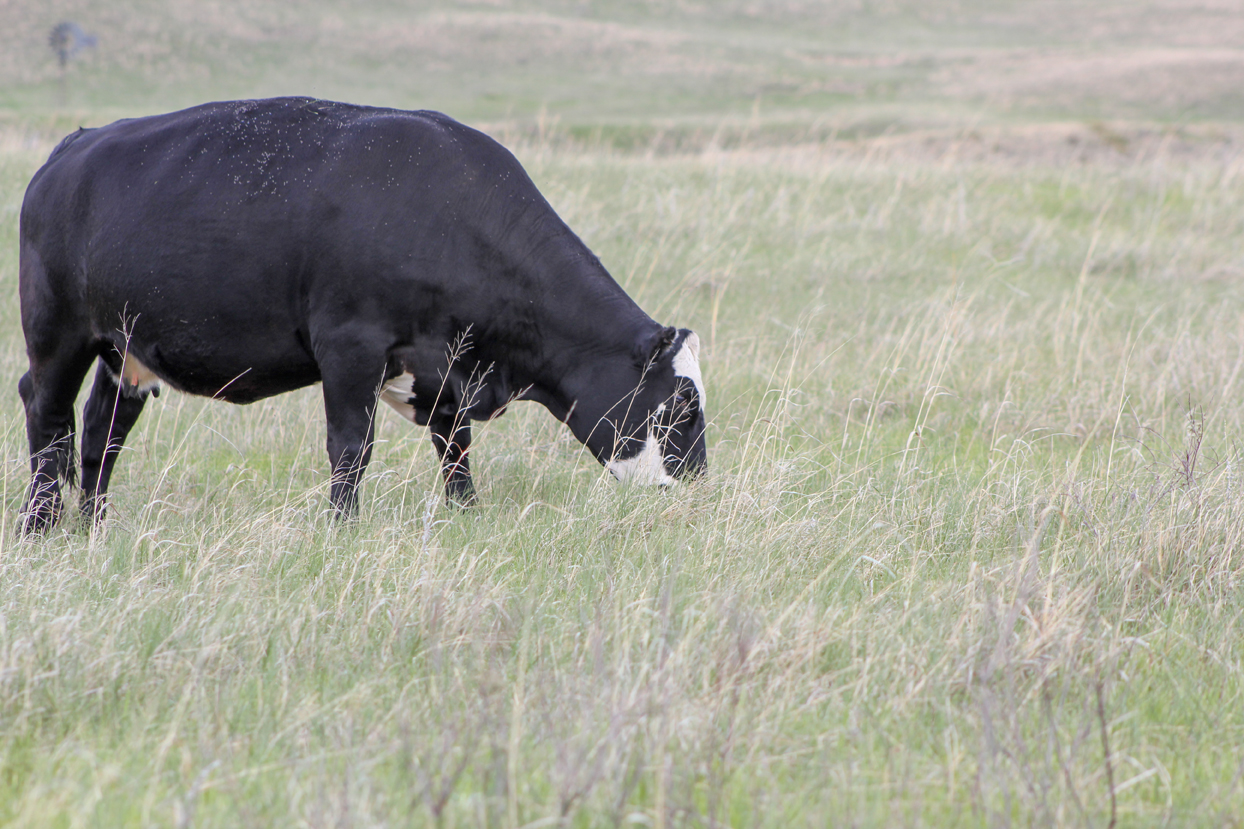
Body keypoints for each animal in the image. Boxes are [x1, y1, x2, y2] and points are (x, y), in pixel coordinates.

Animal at [17, 97, 711, 532]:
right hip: (57, 333)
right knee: (46, 414)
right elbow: (351, 447)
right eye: (681, 406)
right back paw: (38, 525)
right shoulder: (351, 345)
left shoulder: (443, 368)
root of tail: (74, 146)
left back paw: (95, 526)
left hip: (124, 349)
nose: (699, 488)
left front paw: (467, 517)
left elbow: (455, 450)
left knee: (101, 431)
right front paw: (343, 528)